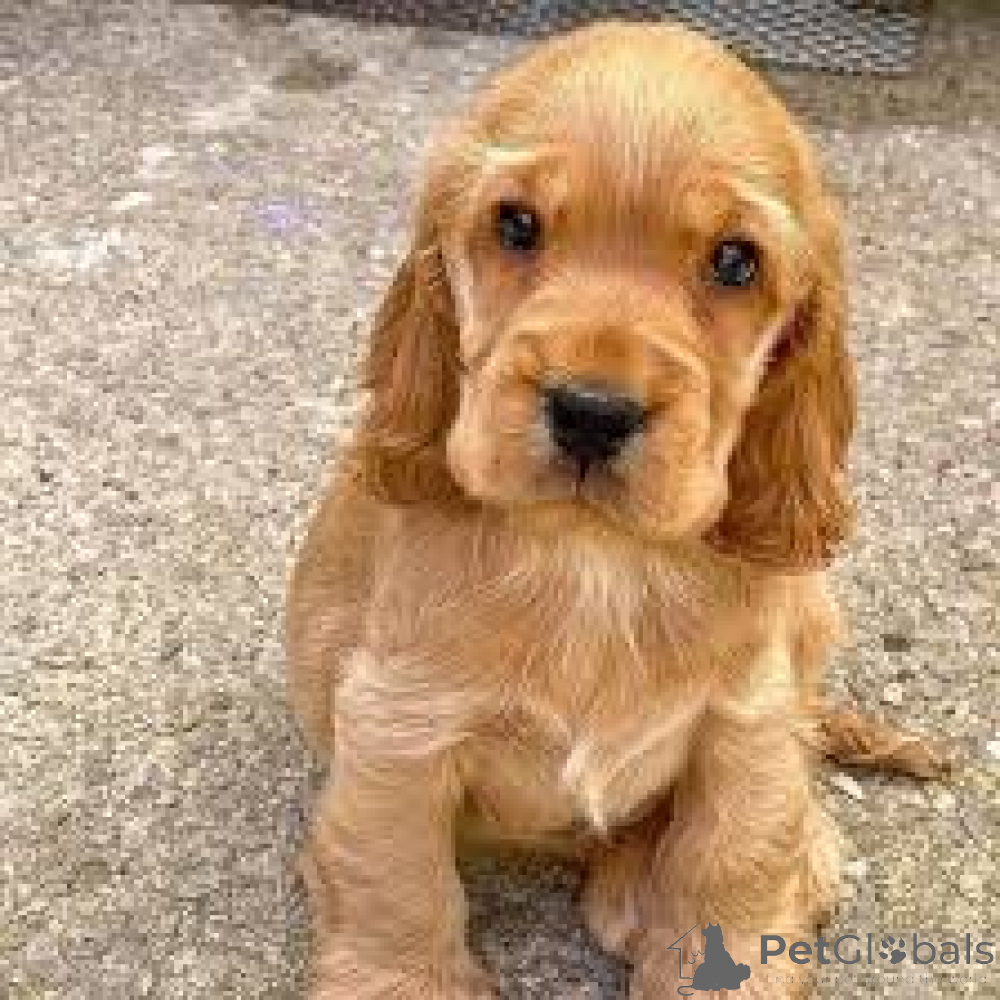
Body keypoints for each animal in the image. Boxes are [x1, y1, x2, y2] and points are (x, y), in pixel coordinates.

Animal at [287, 21, 948, 999]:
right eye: (515, 224)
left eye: (735, 260)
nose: (591, 412)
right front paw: (399, 974)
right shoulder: (396, 722)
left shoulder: (745, 723)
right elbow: (395, 880)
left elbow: (735, 862)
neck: (597, 556)